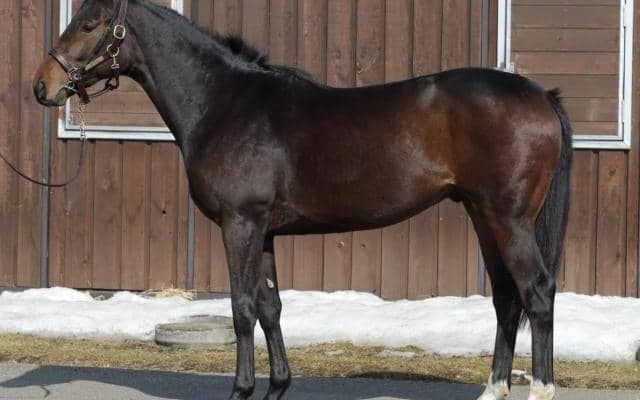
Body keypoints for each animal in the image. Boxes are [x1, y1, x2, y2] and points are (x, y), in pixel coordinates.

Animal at [33, 1, 572, 399]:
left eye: (88, 23)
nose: (43, 86)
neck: (226, 104)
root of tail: (540, 95)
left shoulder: (240, 224)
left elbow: (242, 307)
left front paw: (241, 389)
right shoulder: (265, 231)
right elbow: (270, 307)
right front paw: (277, 386)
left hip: (509, 219)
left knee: (537, 292)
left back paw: (541, 388)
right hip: (483, 215)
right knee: (506, 299)